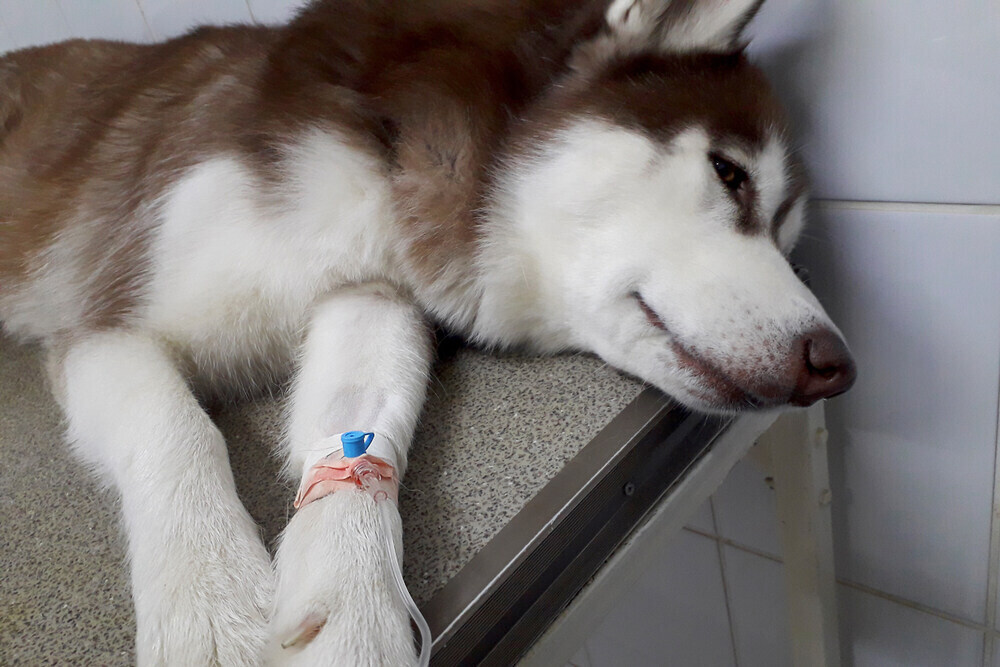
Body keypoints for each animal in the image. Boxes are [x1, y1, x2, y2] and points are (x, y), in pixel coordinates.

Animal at [1, 0, 860, 664]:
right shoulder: (104, 321)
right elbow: (178, 428)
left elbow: (361, 425)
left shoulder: (373, 294)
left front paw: (352, 604)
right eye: (729, 173)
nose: (838, 365)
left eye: (788, 236)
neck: (389, 164)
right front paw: (212, 602)